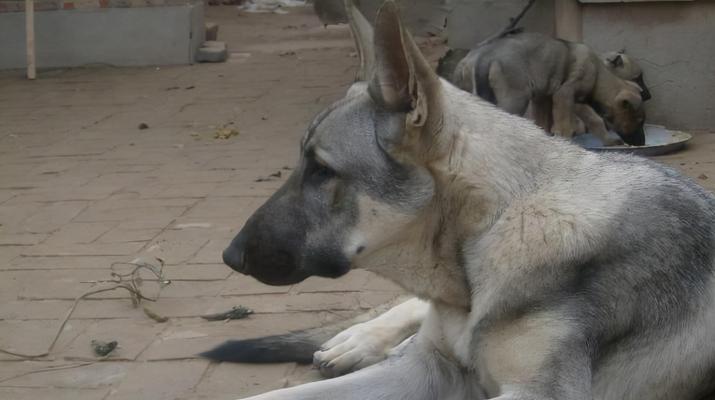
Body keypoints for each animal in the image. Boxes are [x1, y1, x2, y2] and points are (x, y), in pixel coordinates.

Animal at [203, 1, 715, 398]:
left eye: (322, 170)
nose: (228, 256)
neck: (493, 231)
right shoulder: (427, 368)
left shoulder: (537, 392)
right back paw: (358, 340)